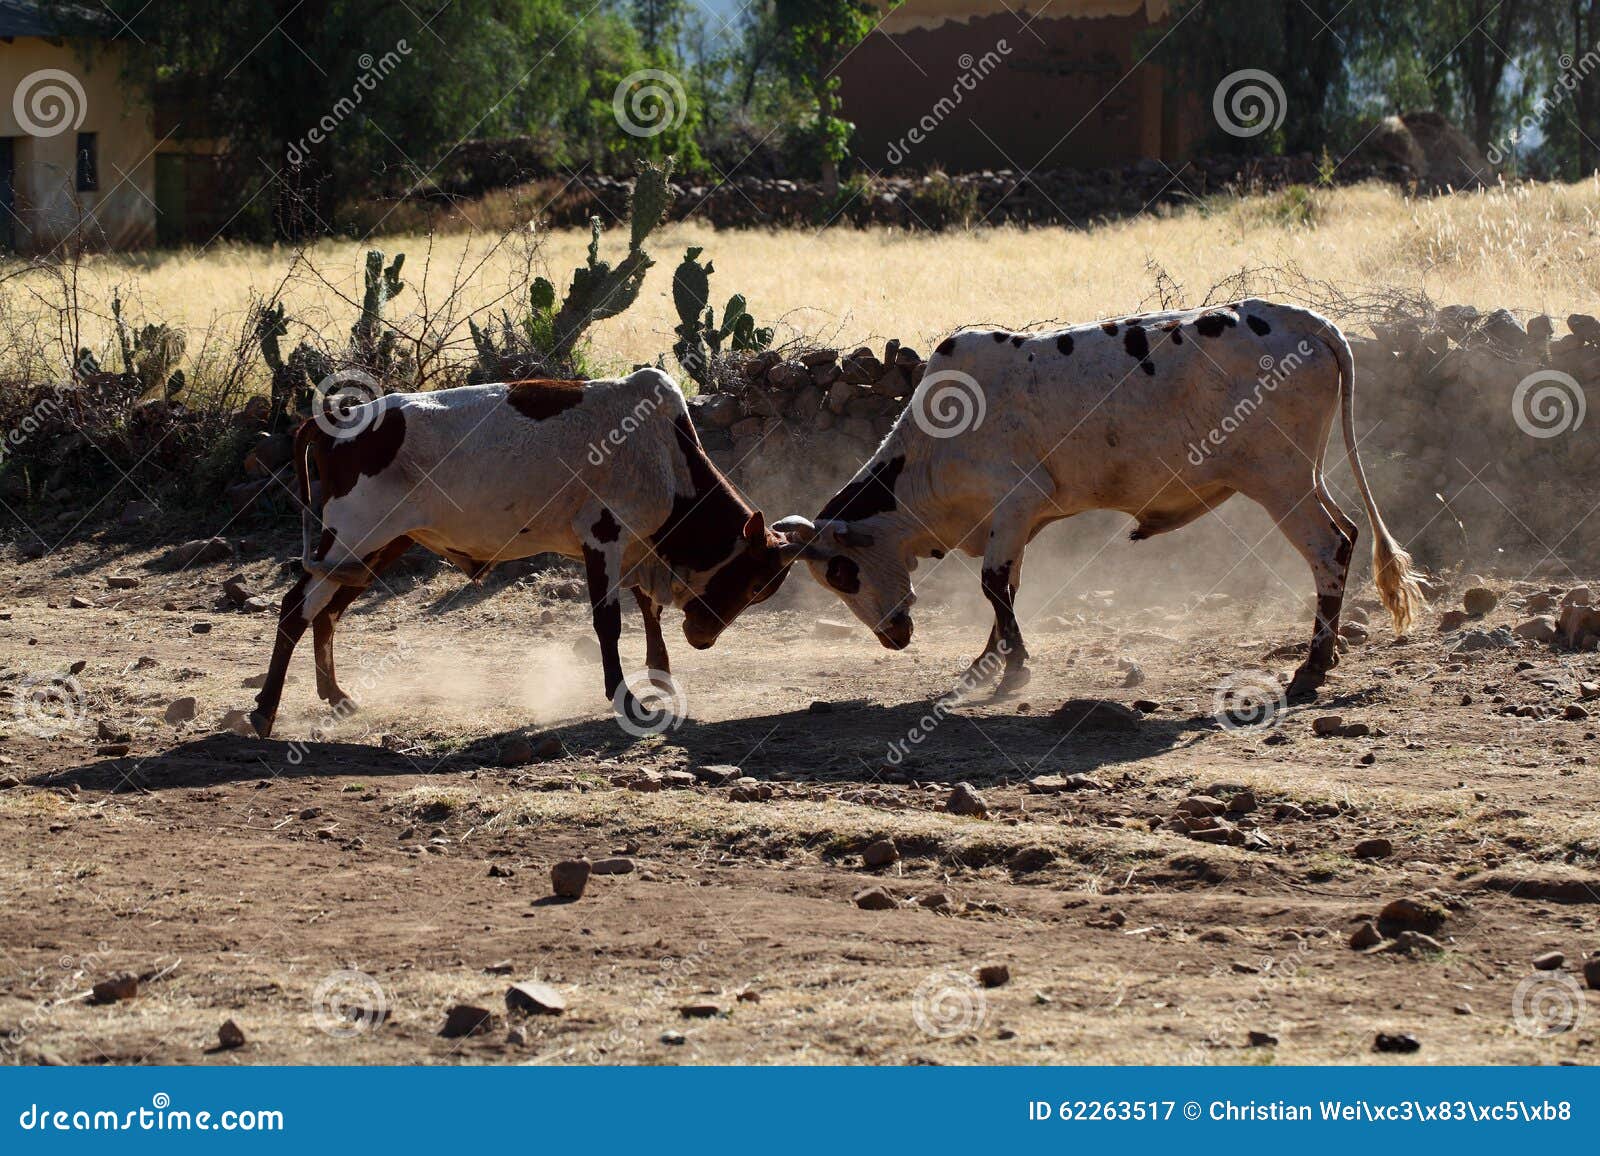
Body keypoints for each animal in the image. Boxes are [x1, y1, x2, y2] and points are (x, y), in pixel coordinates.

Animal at [251, 365, 800, 733]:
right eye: (754, 583)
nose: (703, 636)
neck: (668, 454)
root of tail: (336, 420)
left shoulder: (636, 550)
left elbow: (649, 611)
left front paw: (660, 676)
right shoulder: (603, 539)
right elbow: (609, 623)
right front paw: (624, 699)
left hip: (374, 550)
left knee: (327, 612)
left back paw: (335, 696)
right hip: (351, 536)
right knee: (296, 607)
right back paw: (265, 710)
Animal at [774, 297, 1427, 698]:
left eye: (842, 570)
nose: (892, 636)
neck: (930, 450)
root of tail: (1305, 320)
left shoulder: (1013, 504)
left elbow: (993, 586)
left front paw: (1013, 670)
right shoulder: (1017, 523)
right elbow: (1006, 591)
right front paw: (988, 662)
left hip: (1278, 479)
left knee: (1328, 547)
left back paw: (1312, 664)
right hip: (1302, 475)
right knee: (1348, 532)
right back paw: (1327, 654)